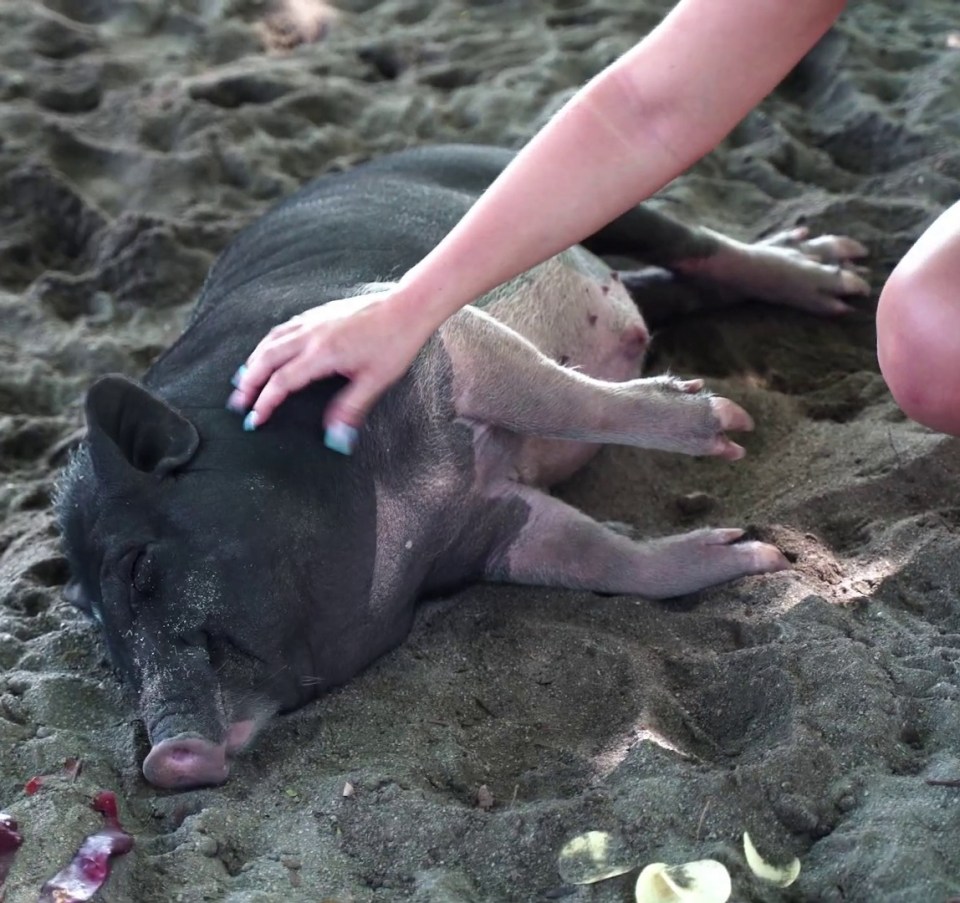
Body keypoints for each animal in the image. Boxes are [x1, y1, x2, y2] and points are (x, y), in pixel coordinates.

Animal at [54, 143, 872, 792]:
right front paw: (753, 555)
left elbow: (560, 401)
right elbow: (604, 558)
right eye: (102, 635)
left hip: (549, 186)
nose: (164, 760)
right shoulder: (492, 527)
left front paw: (729, 430)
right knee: (665, 287)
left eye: (139, 568)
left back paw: (843, 274)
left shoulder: (436, 341)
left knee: (691, 241)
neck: (406, 521)